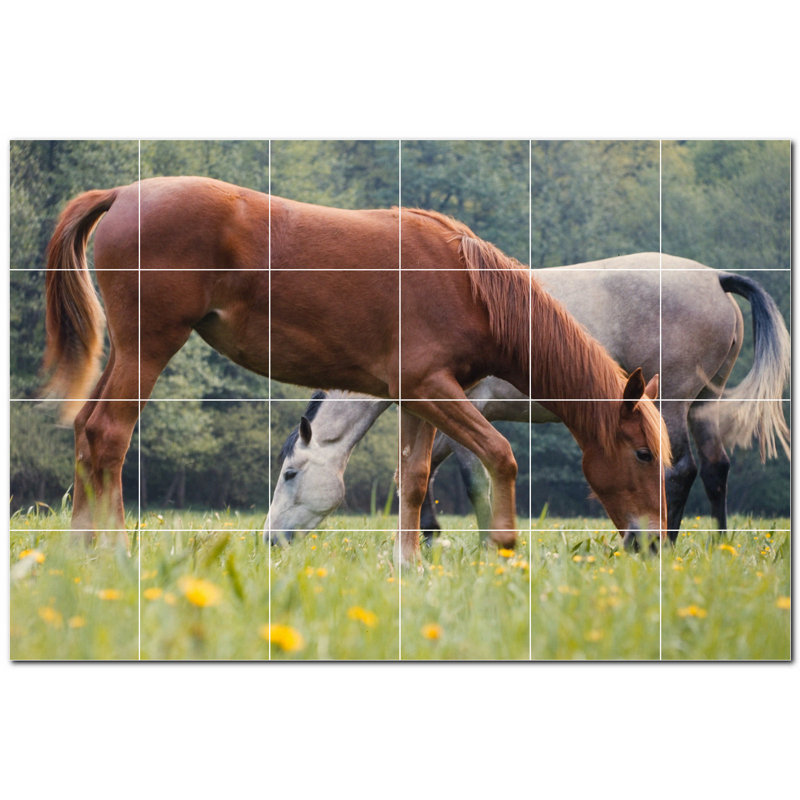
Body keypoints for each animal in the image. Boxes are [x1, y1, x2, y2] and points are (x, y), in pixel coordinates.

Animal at [42, 176, 670, 566]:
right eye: (642, 454)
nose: (654, 543)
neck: (468, 286)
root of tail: (123, 193)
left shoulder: (420, 398)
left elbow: (414, 479)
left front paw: (408, 566)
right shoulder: (433, 390)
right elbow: (500, 455)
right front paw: (504, 550)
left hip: (124, 354)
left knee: (86, 434)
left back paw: (80, 555)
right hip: (147, 350)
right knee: (109, 436)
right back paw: (116, 554)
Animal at [267, 257, 789, 542]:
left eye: (290, 474)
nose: (271, 540)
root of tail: (716, 278)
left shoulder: (466, 410)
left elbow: (470, 478)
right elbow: (415, 473)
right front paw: (432, 540)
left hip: (672, 403)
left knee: (679, 469)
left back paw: (667, 539)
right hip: (702, 402)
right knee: (717, 469)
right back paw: (715, 546)